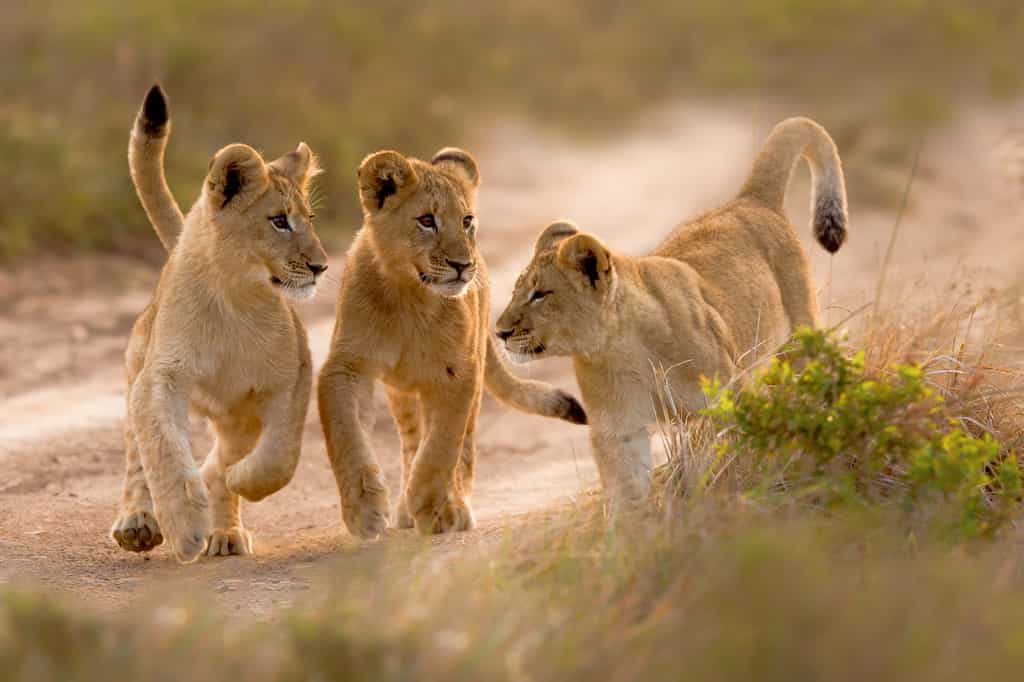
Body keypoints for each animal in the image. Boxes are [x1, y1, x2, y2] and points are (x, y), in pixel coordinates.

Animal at [110, 83, 329, 563]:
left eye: (310, 220)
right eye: (279, 221)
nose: (321, 266)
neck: (236, 300)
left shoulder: (291, 379)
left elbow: (280, 457)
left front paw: (240, 481)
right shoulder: (161, 377)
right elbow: (163, 448)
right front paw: (185, 526)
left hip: (236, 415)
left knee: (223, 460)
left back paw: (225, 528)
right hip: (137, 371)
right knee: (136, 457)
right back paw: (138, 523)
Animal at [317, 147, 587, 538]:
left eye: (467, 220)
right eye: (427, 221)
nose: (463, 264)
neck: (410, 296)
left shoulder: (458, 372)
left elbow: (442, 446)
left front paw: (432, 505)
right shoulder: (346, 365)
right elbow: (346, 436)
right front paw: (364, 511)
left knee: (463, 445)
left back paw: (451, 505)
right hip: (402, 393)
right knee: (411, 439)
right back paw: (405, 509)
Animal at [495, 116, 848, 504]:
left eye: (540, 294)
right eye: (516, 291)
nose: (499, 331)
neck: (622, 348)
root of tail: (749, 199)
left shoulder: (725, 399)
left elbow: (722, 458)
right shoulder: (618, 428)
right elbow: (626, 489)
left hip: (800, 338)